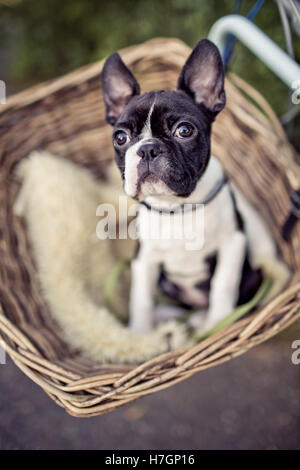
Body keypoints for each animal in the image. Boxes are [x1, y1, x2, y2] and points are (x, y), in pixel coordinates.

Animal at [101, 39, 290, 334]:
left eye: (184, 131)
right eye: (120, 137)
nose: (147, 149)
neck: (178, 207)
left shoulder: (232, 243)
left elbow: (223, 286)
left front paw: (218, 323)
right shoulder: (144, 258)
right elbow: (141, 298)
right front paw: (141, 333)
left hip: (252, 275)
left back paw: (201, 320)